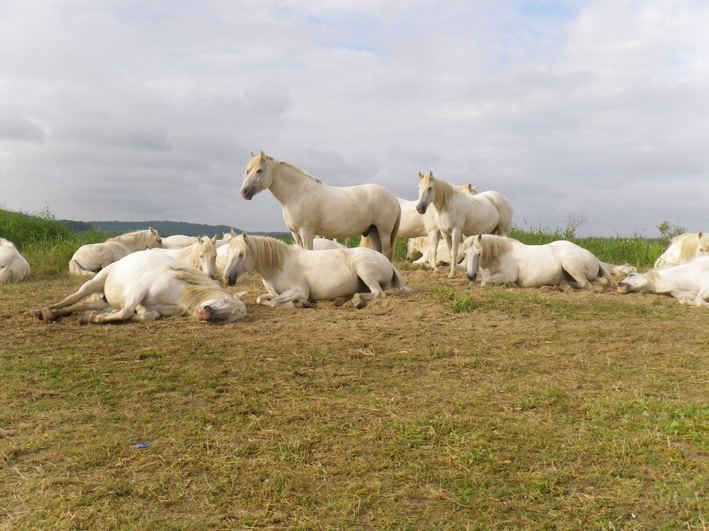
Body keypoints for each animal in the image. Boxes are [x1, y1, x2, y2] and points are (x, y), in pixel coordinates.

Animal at [34, 250, 249, 324]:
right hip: (97, 280)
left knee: (82, 305)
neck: (178, 293)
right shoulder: (139, 290)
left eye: (228, 316)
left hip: (103, 300)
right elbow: (126, 312)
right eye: (224, 299)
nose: (207, 313)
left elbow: (147, 315)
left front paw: (95, 317)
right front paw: (99, 319)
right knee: (74, 297)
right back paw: (46, 310)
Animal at [221, 232, 410, 310]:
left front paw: (298, 303)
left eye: (241, 254)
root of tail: (386, 260)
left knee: (377, 293)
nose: (226, 279)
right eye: (229, 253)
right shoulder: (273, 292)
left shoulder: (299, 291)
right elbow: (261, 299)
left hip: (363, 269)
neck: (280, 265)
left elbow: (275, 302)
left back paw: (356, 300)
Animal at [241, 151, 402, 260]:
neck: (297, 193)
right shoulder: (296, 234)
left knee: (386, 251)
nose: (244, 192)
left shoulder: (306, 231)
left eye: (259, 170)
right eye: (247, 171)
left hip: (384, 231)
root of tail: (393, 197)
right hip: (374, 231)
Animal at [462, 234, 616, 288]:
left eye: (479, 253)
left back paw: (563, 285)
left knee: (585, 284)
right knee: (600, 281)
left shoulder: (508, 275)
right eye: (464, 253)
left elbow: (484, 282)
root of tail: (592, 256)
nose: (470, 275)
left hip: (569, 264)